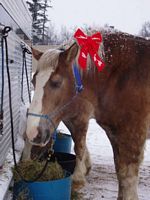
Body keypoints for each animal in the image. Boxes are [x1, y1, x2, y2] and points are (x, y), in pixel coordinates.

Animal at [25, 30, 150, 200]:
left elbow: (126, 178)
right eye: (33, 81)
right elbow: (120, 173)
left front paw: (78, 177)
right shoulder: (113, 134)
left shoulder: (131, 137)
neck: (120, 78)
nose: (32, 133)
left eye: (56, 82)